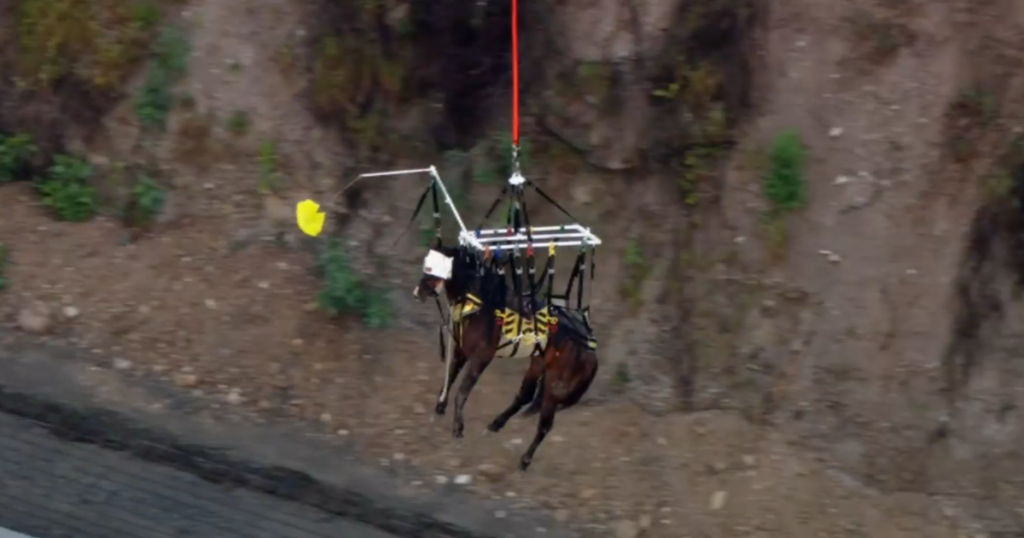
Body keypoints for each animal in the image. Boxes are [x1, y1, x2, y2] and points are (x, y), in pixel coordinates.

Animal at [413, 245, 599, 471]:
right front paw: (440, 407)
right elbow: (450, 376)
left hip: (555, 385)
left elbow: (462, 391)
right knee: (524, 396)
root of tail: (590, 349)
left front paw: (458, 428)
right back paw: (495, 425)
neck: (481, 305)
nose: (418, 293)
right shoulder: (462, 349)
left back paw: (525, 460)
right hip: (538, 364)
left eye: (432, 269)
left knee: (545, 424)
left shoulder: (481, 357)